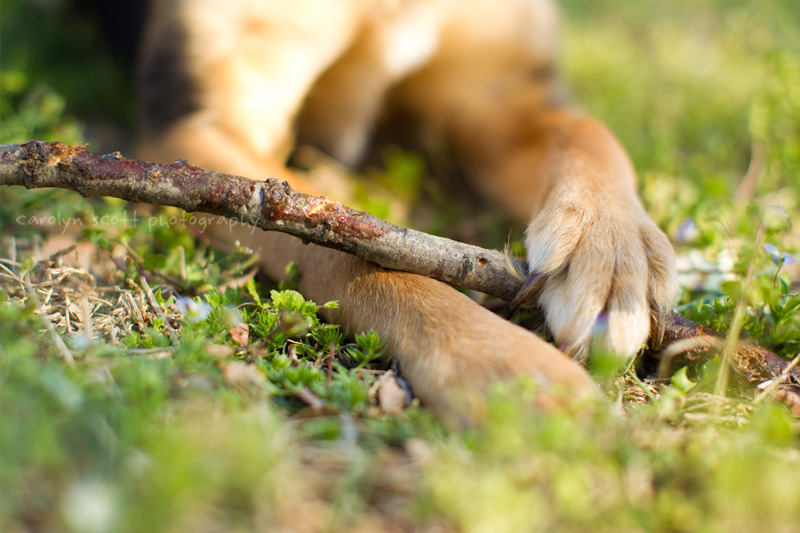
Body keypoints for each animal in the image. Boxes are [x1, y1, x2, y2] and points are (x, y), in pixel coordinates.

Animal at [136, 0, 676, 418]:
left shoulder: (497, 95)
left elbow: (588, 130)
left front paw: (611, 248)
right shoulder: (202, 118)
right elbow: (342, 242)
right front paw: (506, 365)